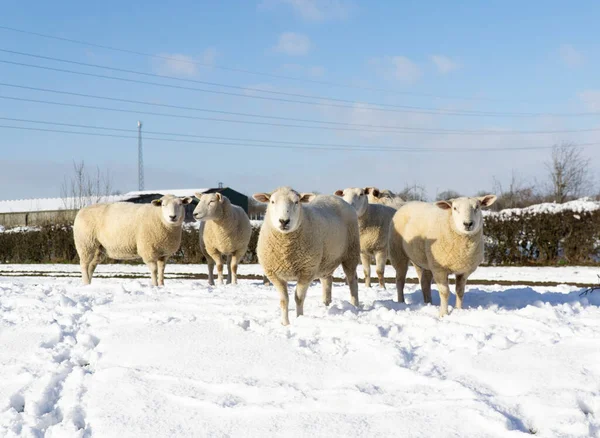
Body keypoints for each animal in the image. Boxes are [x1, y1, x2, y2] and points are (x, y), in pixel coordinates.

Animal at [251, 186, 358, 326]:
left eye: (296, 202)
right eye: (272, 201)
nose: (284, 221)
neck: (285, 249)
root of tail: (334, 197)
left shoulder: (306, 271)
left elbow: (299, 298)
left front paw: (299, 318)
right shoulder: (274, 274)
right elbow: (284, 300)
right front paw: (285, 323)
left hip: (351, 253)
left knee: (352, 280)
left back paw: (355, 305)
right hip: (326, 261)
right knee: (327, 281)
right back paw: (326, 305)